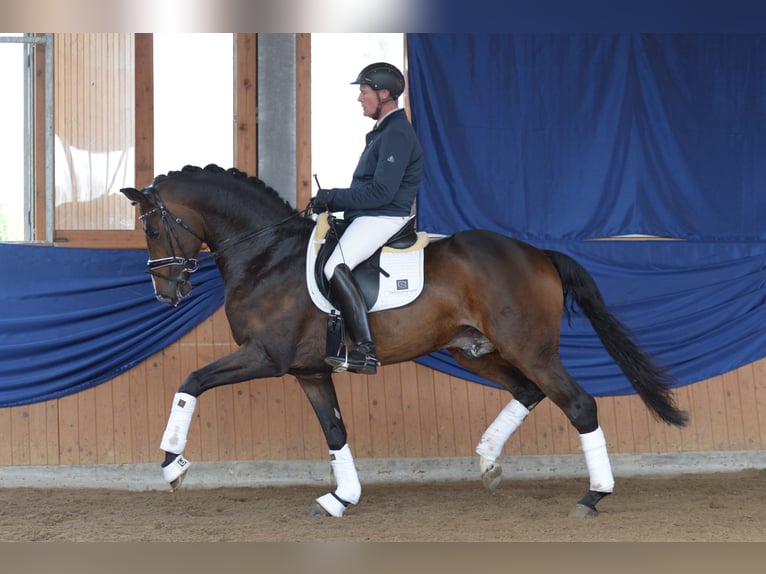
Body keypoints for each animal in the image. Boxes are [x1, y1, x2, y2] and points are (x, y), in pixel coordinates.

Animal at [121, 164, 688, 520]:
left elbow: (191, 380)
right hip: (472, 349)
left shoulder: (266, 356)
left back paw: (593, 496)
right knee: (528, 393)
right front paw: (341, 498)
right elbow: (335, 431)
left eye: (152, 228)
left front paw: (172, 465)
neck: (266, 255)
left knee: (579, 404)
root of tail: (535, 253)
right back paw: (488, 463)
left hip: (530, 349)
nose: (166, 292)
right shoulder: (310, 370)